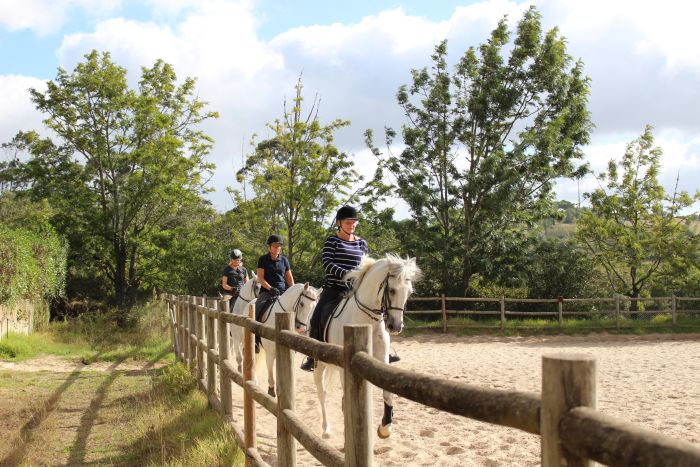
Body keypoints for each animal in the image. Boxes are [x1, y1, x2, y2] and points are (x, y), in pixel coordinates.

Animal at [314, 254, 422, 440]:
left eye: (409, 292)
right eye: (392, 290)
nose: (395, 326)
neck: (367, 321)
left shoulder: (381, 359)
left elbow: (388, 393)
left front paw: (385, 427)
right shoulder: (344, 366)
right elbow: (345, 400)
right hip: (319, 362)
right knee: (322, 392)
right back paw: (326, 429)